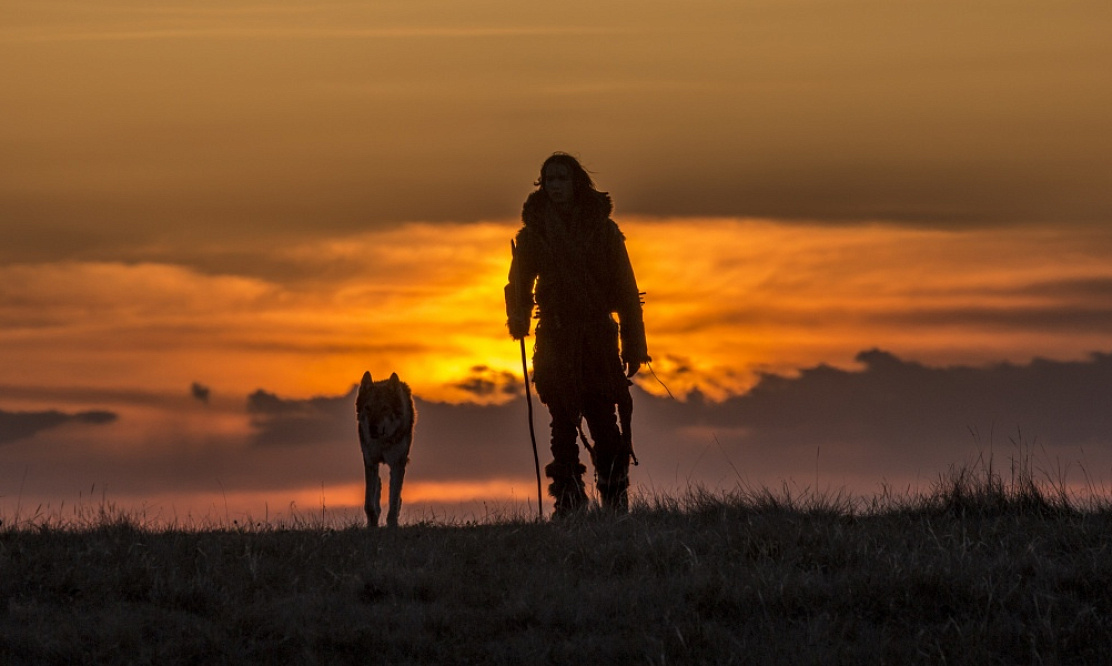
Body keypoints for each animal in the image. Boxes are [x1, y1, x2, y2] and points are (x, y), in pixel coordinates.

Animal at [353, 373, 415, 529]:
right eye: (367, 408)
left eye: (385, 408)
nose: (372, 428)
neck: (382, 442)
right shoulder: (370, 462)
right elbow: (369, 502)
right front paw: (372, 524)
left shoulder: (397, 464)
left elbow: (393, 499)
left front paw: (392, 524)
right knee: (378, 485)